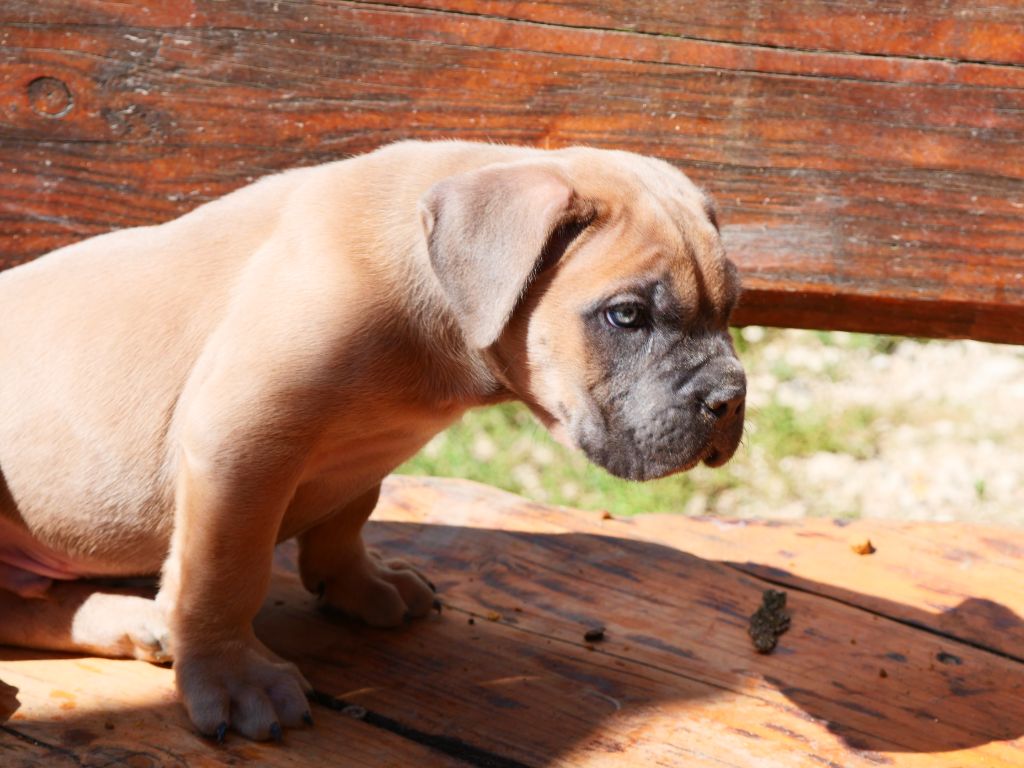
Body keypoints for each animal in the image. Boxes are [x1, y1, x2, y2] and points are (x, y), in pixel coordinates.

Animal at [0, 141, 745, 741]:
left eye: (732, 307)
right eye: (627, 316)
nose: (730, 396)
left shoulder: (361, 455)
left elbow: (348, 517)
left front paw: (360, 583)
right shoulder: (240, 444)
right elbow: (225, 572)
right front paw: (233, 676)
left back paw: (135, 621)